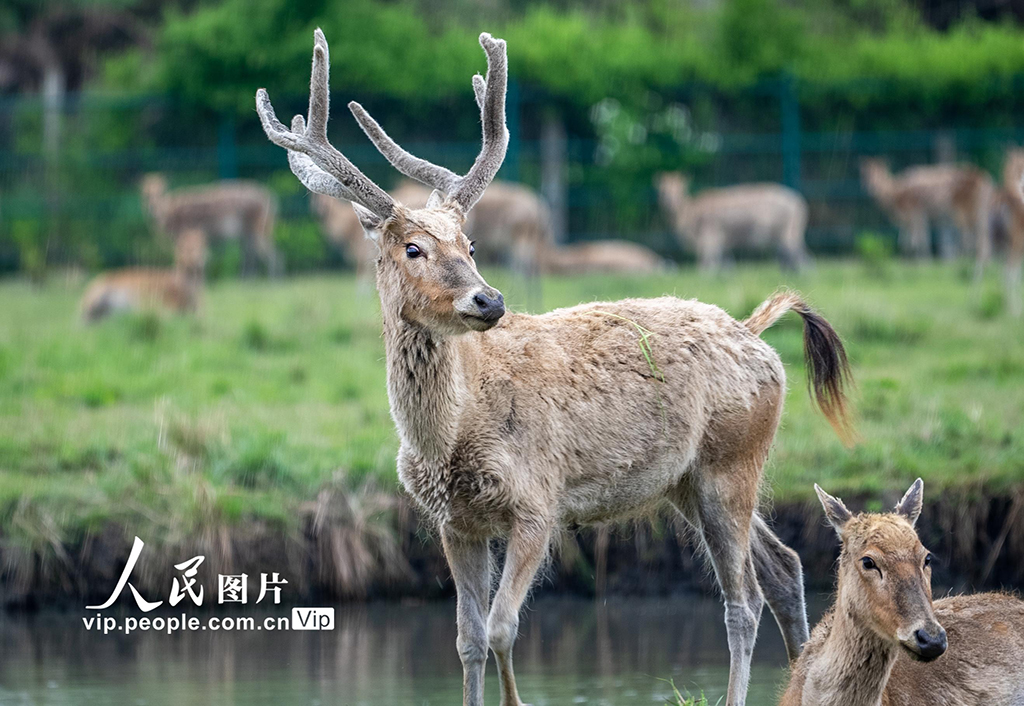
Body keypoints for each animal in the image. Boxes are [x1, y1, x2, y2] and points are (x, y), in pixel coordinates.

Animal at [141, 172, 280, 276]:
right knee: (252, 254)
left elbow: (185, 258)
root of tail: (270, 199)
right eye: (145, 193)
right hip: (249, 233)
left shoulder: (184, 235)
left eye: (160, 191)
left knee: (273, 255)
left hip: (258, 230)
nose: (152, 206)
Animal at [659, 171, 811, 270]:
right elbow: (726, 264)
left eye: (679, 189)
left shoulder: (710, 236)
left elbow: (708, 264)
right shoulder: (721, 241)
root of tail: (798, 202)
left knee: (801, 257)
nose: (669, 202)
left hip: (788, 233)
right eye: (663, 191)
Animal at [856, 157, 991, 274]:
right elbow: (905, 241)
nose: (872, 188)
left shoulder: (916, 212)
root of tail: (983, 177)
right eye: (865, 175)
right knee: (978, 235)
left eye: (879, 173)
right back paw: (976, 262)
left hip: (964, 210)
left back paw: (965, 262)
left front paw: (923, 263)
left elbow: (918, 239)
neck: (895, 196)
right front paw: (905, 262)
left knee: (973, 237)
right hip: (974, 211)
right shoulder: (910, 218)